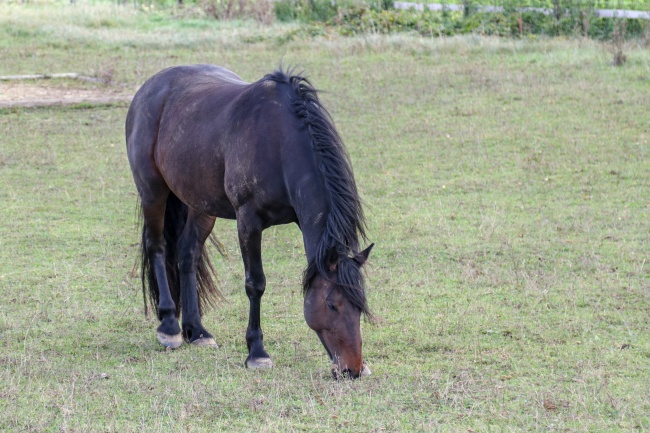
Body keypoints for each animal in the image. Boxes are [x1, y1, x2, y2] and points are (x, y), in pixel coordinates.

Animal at [124, 64, 372, 378]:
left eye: (360, 305)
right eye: (332, 304)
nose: (353, 369)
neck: (279, 144)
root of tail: (150, 87)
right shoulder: (248, 221)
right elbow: (256, 284)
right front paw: (257, 352)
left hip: (200, 204)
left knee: (187, 254)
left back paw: (197, 331)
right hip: (152, 191)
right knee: (156, 246)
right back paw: (169, 326)